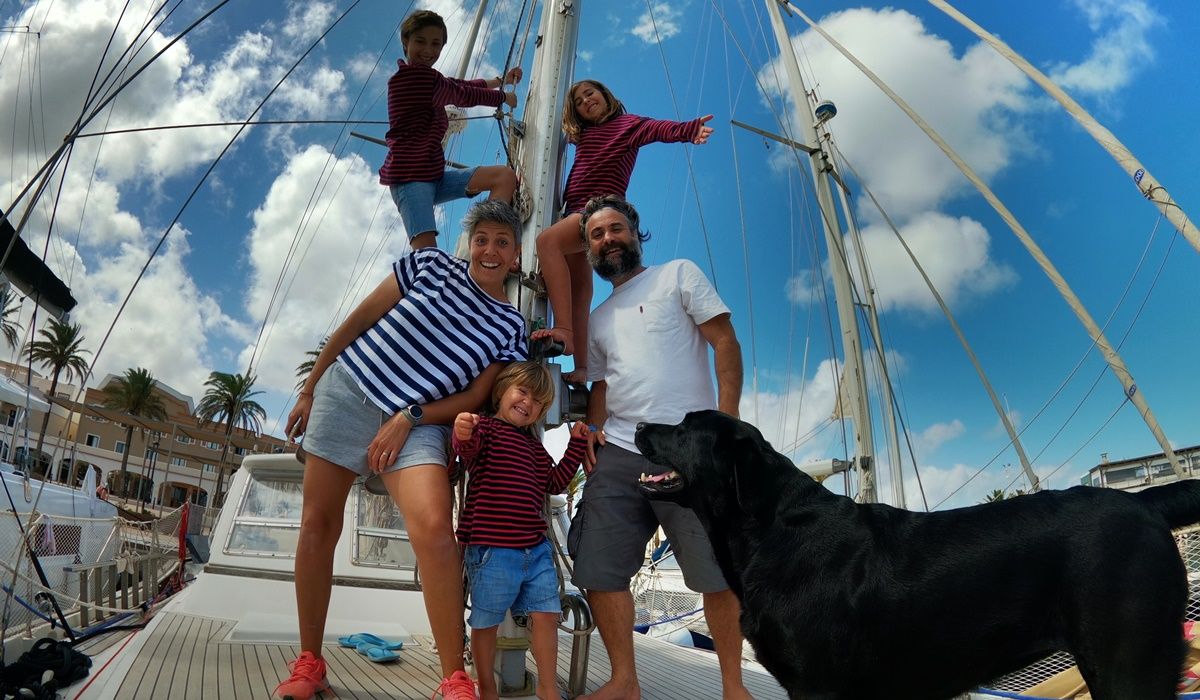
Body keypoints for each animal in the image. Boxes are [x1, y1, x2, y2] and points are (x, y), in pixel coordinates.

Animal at [633, 410, 1200, 700]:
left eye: (683, 428)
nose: (638, 426)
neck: (773, 530)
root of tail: (1143, 500)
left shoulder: (818, 687)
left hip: (1129, 662)